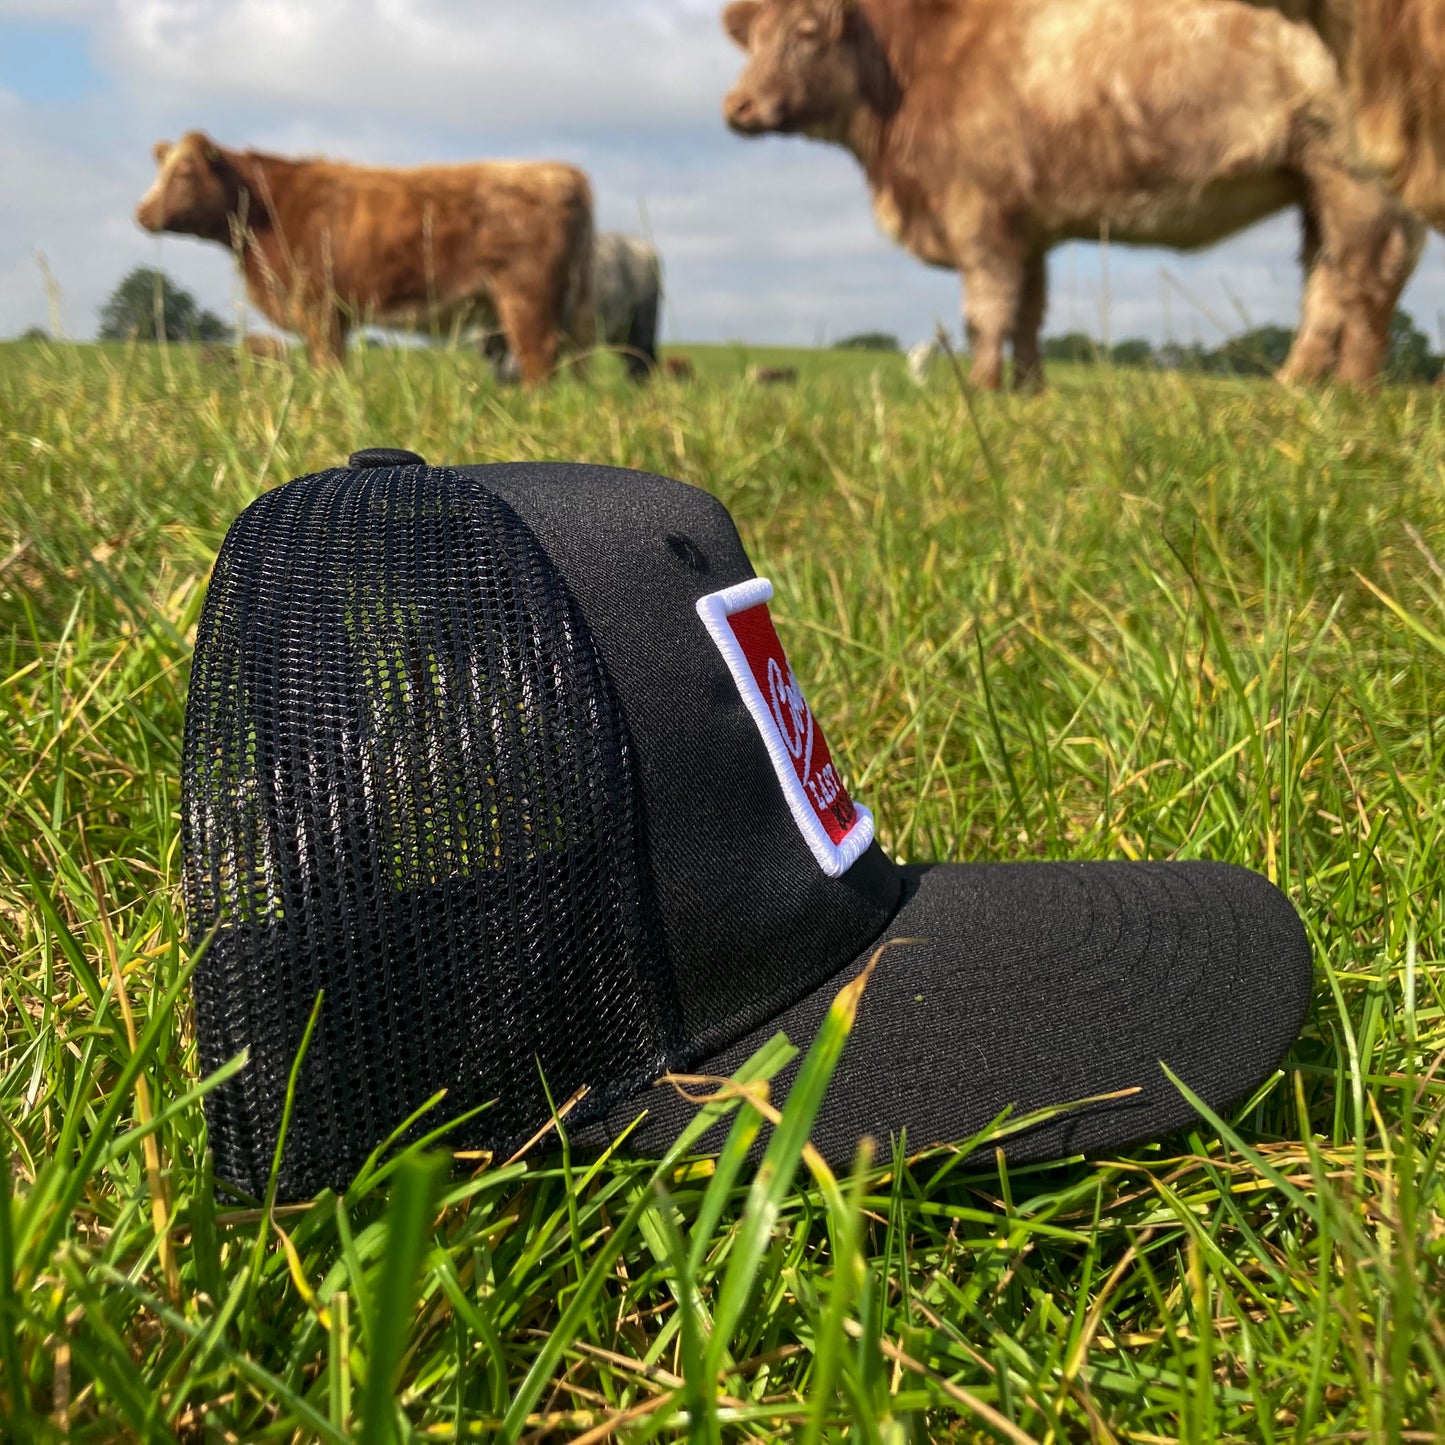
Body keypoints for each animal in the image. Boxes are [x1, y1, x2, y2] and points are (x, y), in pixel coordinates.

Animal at [131, 130, 592, 381]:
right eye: (161, 171)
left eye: (184, 173)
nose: (142, 212)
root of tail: (558, 170)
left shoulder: (320, 307)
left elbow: (327, 365)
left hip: (526, 294)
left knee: (538, 355)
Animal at [722, 0, 1421, 390]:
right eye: (751, 40)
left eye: (805, 32)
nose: (738, 106)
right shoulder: (1026, 223)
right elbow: (1029, 312)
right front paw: (1030, 391)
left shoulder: (978, 212)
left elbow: (987, 313)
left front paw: (982, 390)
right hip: (1315, 175)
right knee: (1326, 278)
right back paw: (1298, 388)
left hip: (1350, 166)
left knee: (1365, 274)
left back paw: (1352, 395)